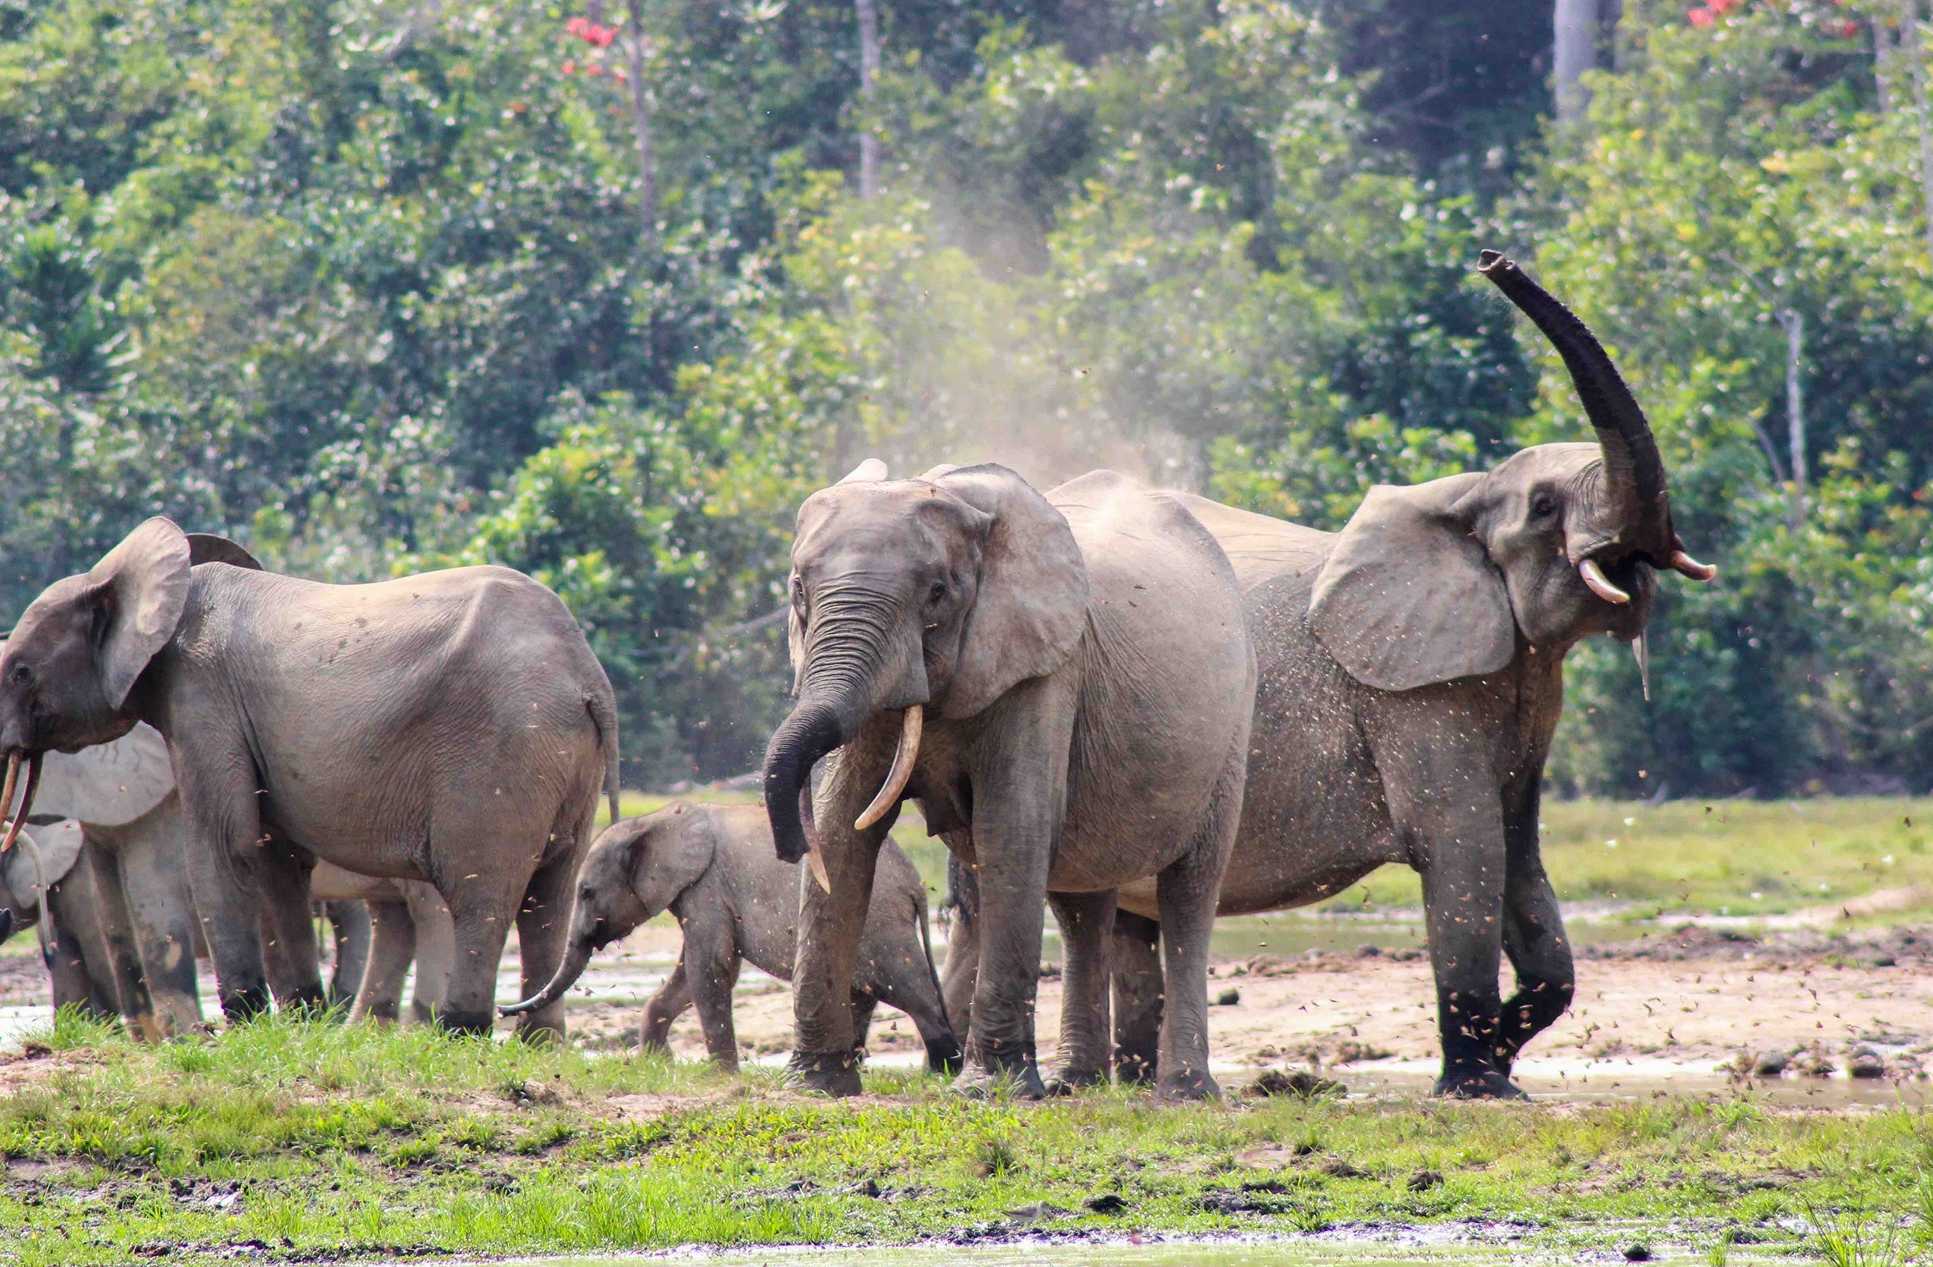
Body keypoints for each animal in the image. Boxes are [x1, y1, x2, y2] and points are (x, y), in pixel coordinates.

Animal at [0, 520, 622, 1040]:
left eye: (21, 672)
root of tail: (588, 678)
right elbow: (275, 856)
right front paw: (301, 1021)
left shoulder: (203, 698)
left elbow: (225, 844)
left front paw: (245, 1029)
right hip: (562, 758)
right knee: (549, 893)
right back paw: (539, 1042)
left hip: (501, 751)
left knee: (479, 891)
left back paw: (458, 1032)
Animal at [506, 800, 961, 1073]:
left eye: (586, 892)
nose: (504, 1010)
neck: (660, 819)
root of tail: (916, 885)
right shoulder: (699, 891)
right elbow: (692, 972)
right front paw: (658, 1062)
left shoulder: (707, 885)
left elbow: (710, 967)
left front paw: (723, 1075)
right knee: (862, 992)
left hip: (882, 924)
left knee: (910, 989)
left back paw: (944, 1069)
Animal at [761, 463, 1254, 1100]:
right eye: (798, 588)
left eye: (938, 592)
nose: (787, 846)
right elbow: (845, 827)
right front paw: (815, 1086)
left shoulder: (1043, 668)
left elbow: (1010, 827)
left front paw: (989, 1091)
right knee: (1081, 907)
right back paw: (1075, 1084)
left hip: (1232, 729)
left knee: (1189, 894)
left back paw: (1184, 1093)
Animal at [1065, 250, 1715, 1099]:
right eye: (1544, 507)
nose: (1489, 259)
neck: (1462, 497)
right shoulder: (1408, 698)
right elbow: (1466, 849)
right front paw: (1476, 1084)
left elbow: (1520, 858)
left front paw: (1502, 1058)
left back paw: (1133, 1082)